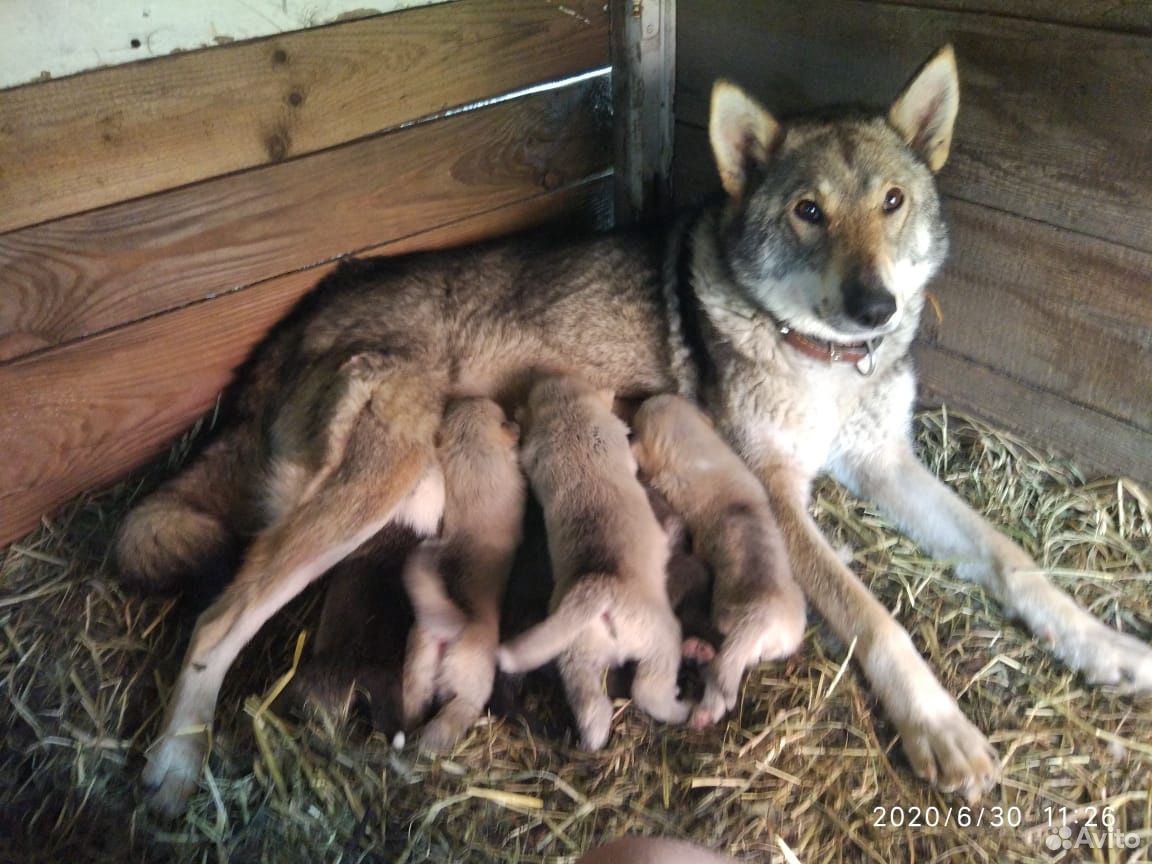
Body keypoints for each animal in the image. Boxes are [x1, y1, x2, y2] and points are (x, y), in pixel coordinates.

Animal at [398, 398, 520, 751]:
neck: (472, 459)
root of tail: (446, 633)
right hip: (469, 687)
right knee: (453, 715)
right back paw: (429, 745)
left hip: (417, 668)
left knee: (413, 704)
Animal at [497, 377, 691, 751]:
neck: (568, 414)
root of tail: (594, 590)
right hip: (659, 636)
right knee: (648, 688)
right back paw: (681, 709)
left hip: (575, 656)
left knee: (591, 707)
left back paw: (592, 741)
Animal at [631, 393, 801, 732]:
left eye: (640, 416)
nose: (648, 398)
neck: (700, 451)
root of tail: (762, 619)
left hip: (726, 623)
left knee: (720, 679)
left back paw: (701, 703)